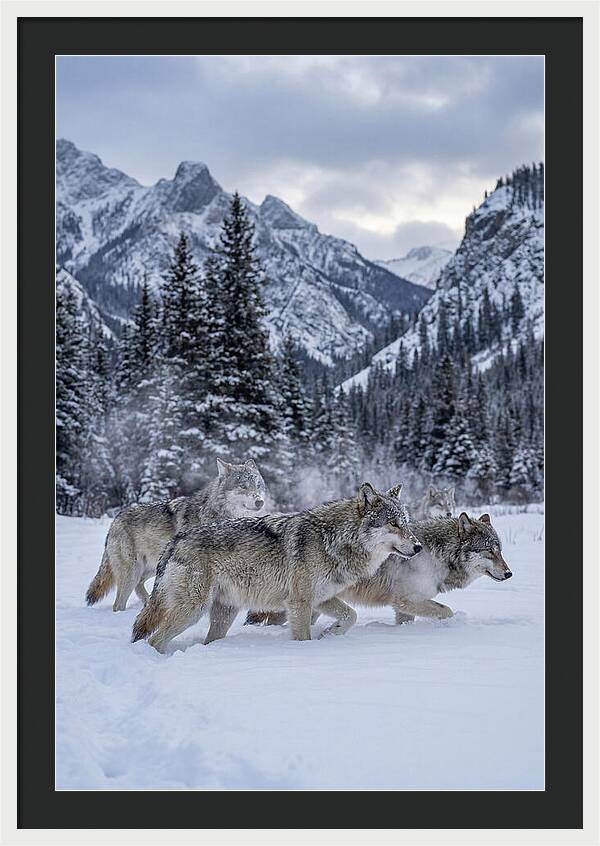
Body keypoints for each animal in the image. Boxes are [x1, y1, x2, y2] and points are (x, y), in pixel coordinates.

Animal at [85, 458, 267, 612]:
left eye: (258, 485)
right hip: (132, 572)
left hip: (153, 567)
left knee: (139, 586)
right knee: (118, 604)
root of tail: (116, 518)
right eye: (243, 485)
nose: (260, 501)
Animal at [131, 482, 422, 652]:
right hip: (192, 610)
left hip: (224, 614)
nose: (418, 546)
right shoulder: (300, 603)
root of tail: (175, 540)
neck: (334, 539)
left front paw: (330, 634)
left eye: (406, 522)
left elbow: (351, 615)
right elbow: (303, 637)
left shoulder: (321, 599)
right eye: (393, 524)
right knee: (154, 639)